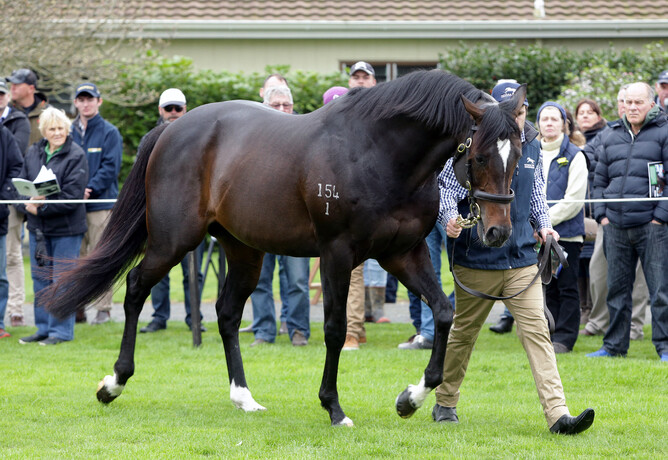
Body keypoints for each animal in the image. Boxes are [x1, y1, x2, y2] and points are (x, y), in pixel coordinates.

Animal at [45, 70, 526, 426]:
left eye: (518, 155)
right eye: (480, 156)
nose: (498, 232)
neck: (379, 152)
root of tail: (171, 129)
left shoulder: (403, 253)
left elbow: (443, 312)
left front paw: (410, 398)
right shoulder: (337, 254)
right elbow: (334, 329)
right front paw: (334, 407)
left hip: (244, 251)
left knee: (226, 313)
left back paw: (244, 397)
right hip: (173, 241)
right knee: (136, 288)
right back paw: (114, 383)